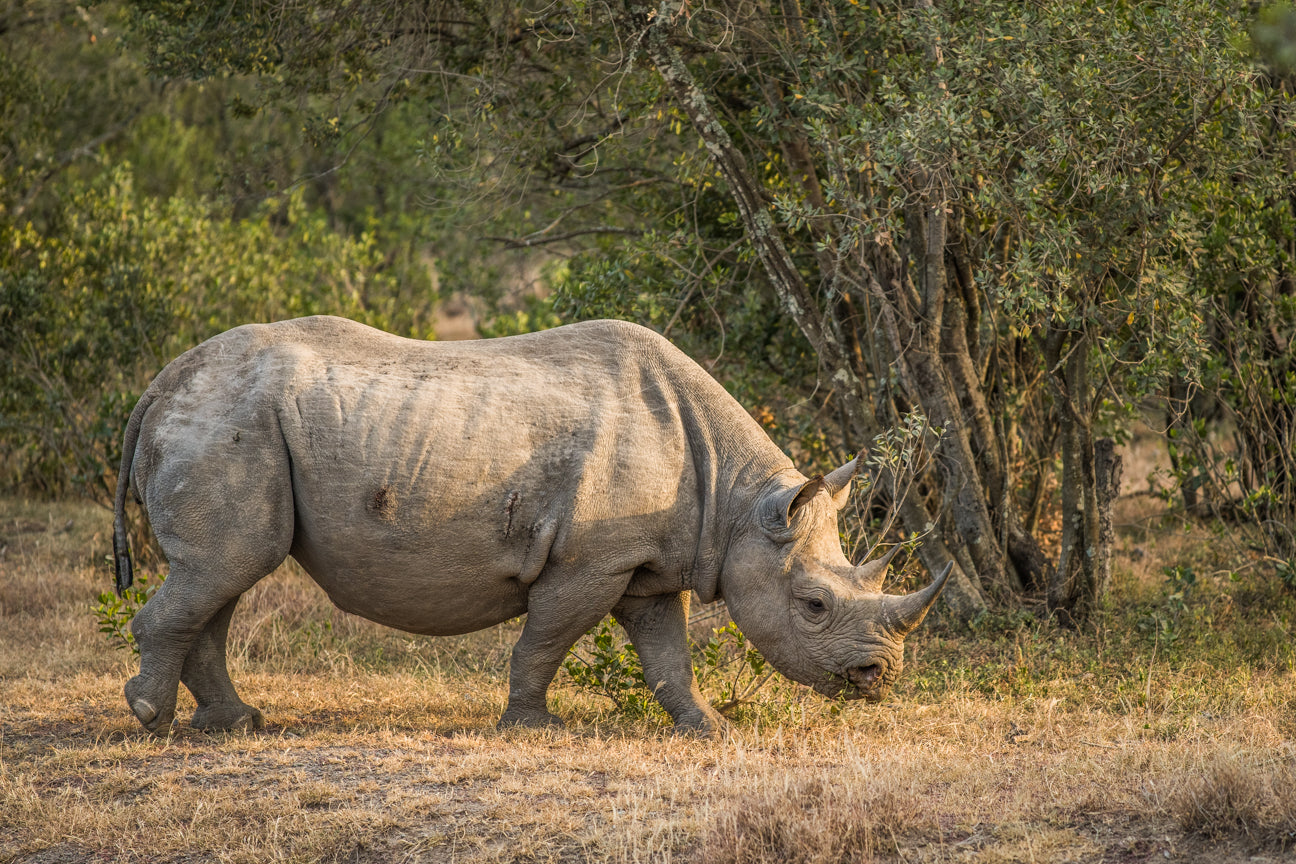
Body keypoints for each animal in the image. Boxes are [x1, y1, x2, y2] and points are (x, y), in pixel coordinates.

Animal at [111, 316, 951, 735]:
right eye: (813, 605)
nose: (879, 679)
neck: (740, 504)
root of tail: (157, 385)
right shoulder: (590, 560)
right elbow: (546, 638)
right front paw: (529, 728)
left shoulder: (644, 561)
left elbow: (668, 655)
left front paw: (708, 728)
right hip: (225, 422)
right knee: (225, 569)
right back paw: (152, 719)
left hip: (231, 423)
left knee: (224, 576)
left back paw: (236, 724)